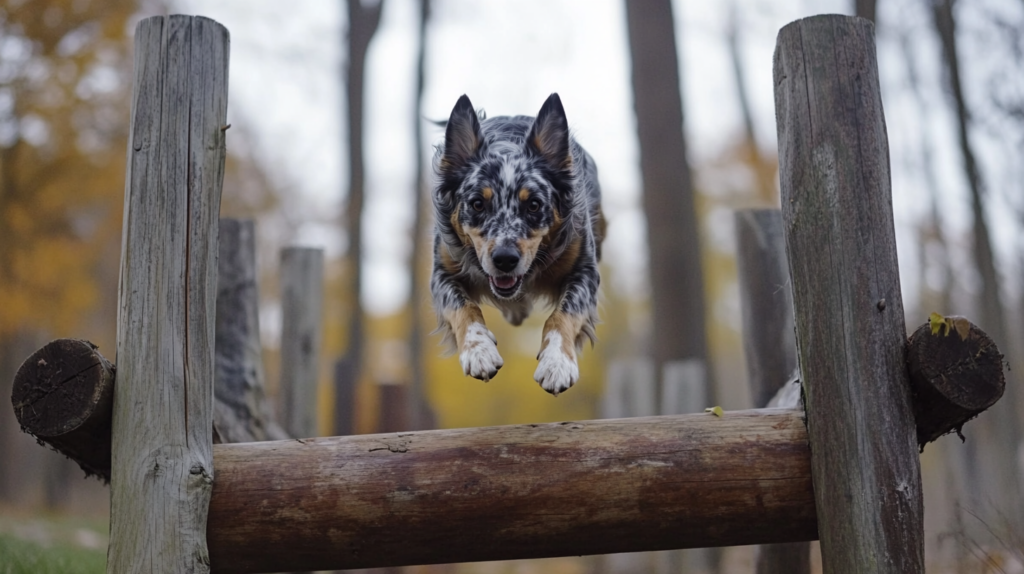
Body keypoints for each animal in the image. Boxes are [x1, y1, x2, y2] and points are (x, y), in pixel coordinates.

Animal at [430, 93, 602, 392]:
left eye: (533, 205)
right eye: (477, 204)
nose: (505, 260)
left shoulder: (585, 271)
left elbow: (563, 314)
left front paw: (556, 362)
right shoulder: (442, 272)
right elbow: (463, 306)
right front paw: (479, 351)